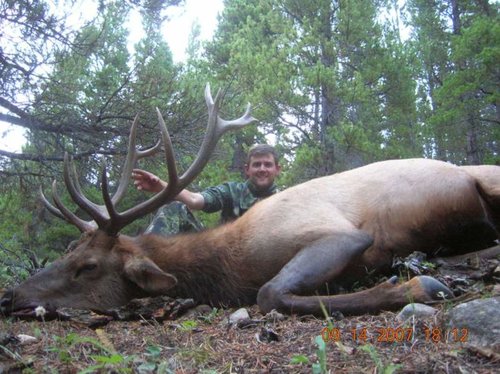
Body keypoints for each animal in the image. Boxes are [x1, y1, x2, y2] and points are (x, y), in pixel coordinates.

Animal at [0, 85, 500, 318]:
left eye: (87, 267)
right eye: (68, 250)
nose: (11, 295)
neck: (227, 265)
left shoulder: (340, 235)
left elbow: (270, 292)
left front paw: (416, 287)